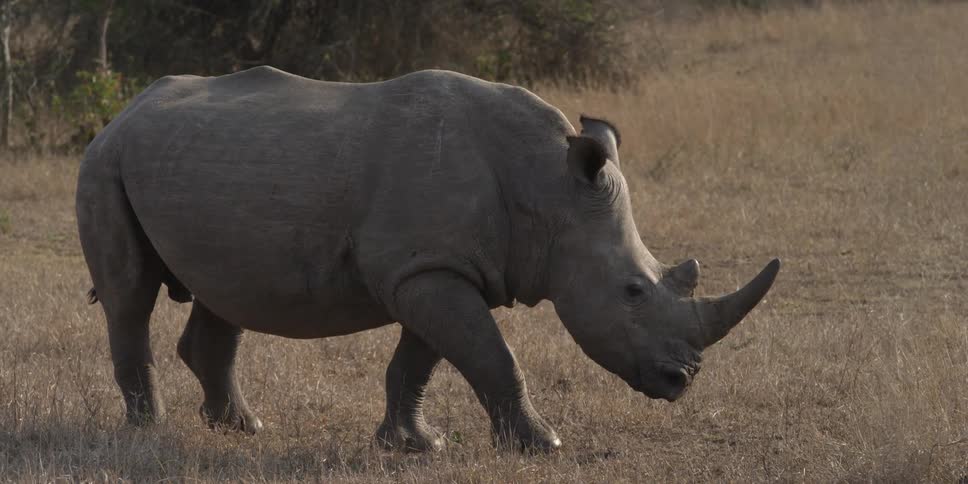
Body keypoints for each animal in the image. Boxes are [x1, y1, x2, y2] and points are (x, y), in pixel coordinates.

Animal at [76, 66, 779, 452]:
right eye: (633, 291)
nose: (682, 380)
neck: (549, 188)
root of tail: (123, 112)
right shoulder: (429, 270)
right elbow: (494, 356)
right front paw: (542, 445)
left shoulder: (435, 268)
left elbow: (421, 361)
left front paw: (413, 445)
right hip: (105, 162)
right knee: (130, 297)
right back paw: (149, 432)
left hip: (195, 164)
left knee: (226, 292)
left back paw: (245, 429)